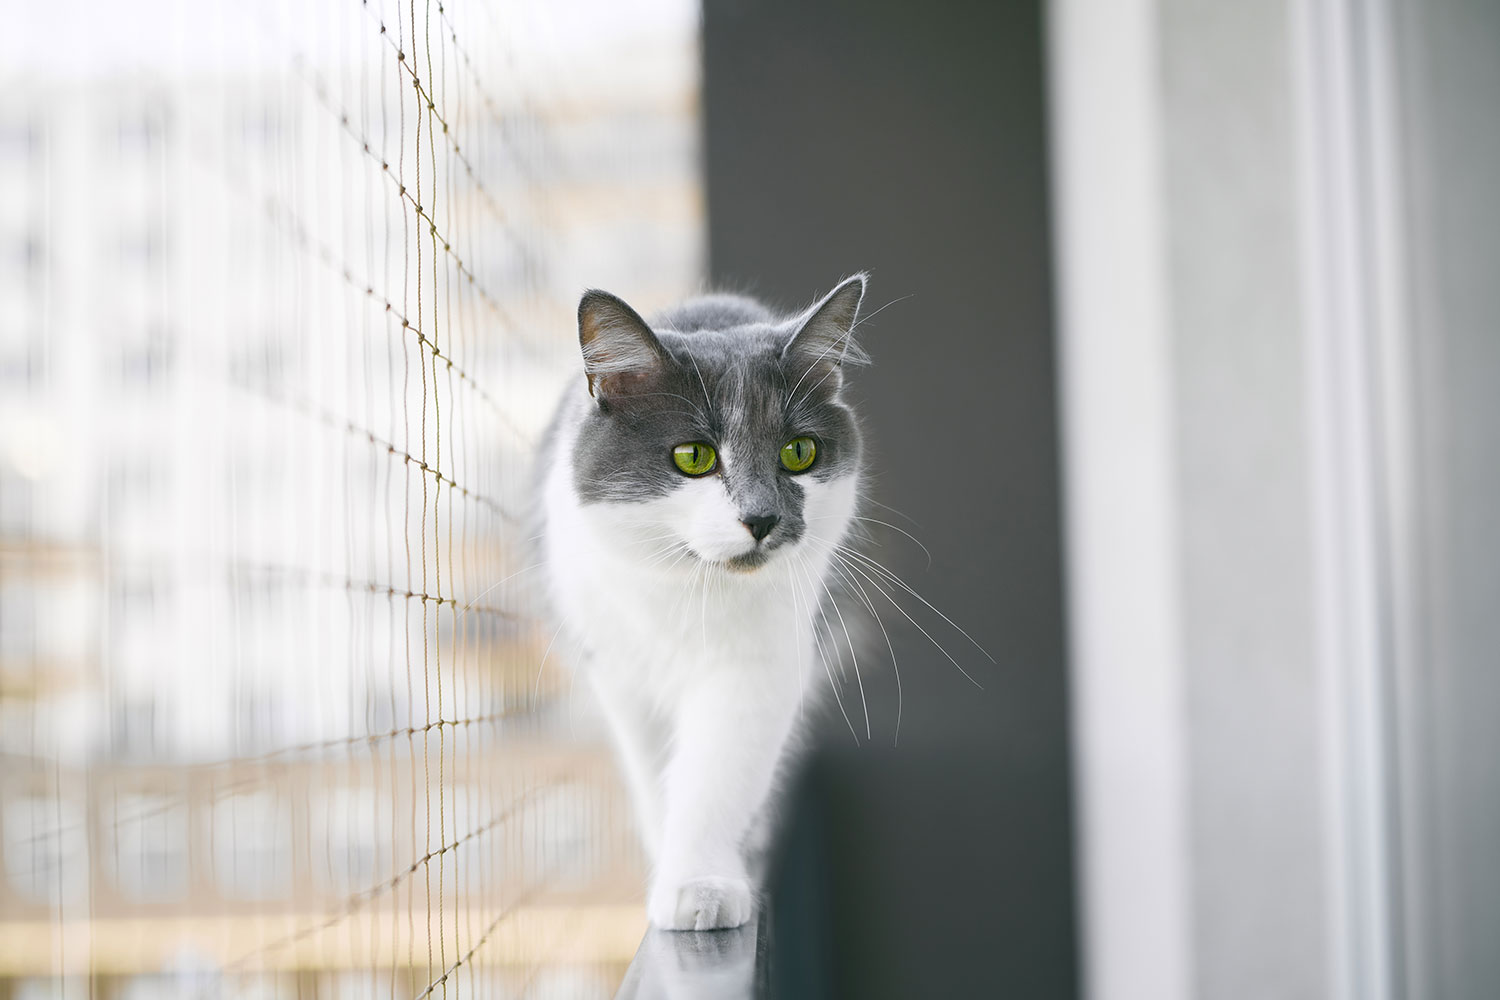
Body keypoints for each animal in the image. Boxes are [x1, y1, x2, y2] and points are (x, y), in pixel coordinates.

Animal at [537, 271, 870, 929]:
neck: (691, 594)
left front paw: (702, 886)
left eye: (800, 452)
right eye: (693, 457)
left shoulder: (758, 668)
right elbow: (653, 779)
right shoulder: (621, 675)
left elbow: (717, 778)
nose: (762, 518)